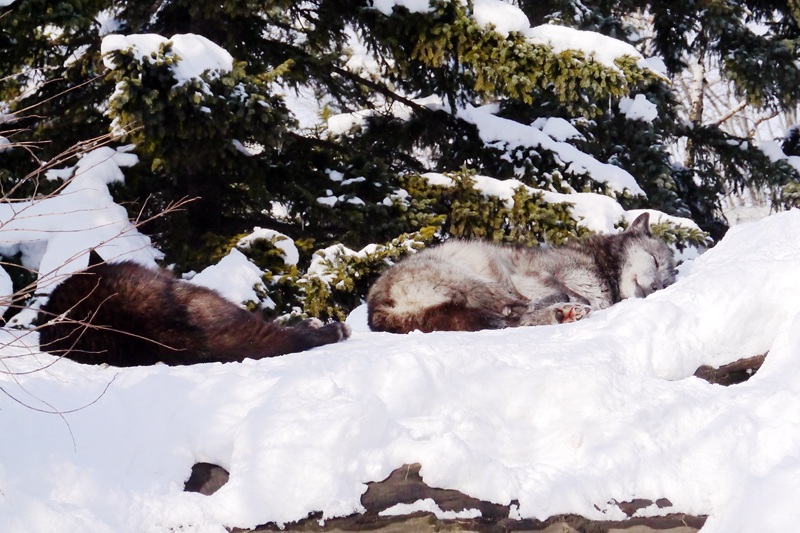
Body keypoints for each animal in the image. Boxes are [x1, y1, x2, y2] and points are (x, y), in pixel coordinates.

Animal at [368, 212, 676, 332]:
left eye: (666, 283)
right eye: (654, 261)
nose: (656, 288)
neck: (602, 267)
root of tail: (376, 309)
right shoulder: (529, 277)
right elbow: (572, 293)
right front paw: (573, 301)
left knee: (512, 319)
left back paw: (561, 314)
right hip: (476, 279)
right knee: (512, 311)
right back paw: (562, 310)